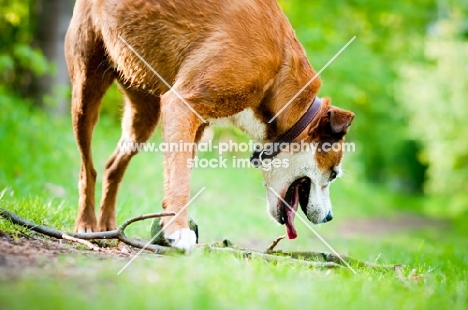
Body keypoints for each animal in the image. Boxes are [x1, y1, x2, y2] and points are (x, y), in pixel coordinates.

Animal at [66, 0, 354, 252]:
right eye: (333, 174)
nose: (329, 217)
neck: (277, 75)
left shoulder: (196, 124)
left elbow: (176, 173)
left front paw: (167, 225)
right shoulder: (180, 105)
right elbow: (181, 179)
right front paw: (178, 230)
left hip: (142, 113)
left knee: (112, 167)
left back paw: (107, 225)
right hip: (86, 91)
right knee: (87, 169)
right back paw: (86, 224)